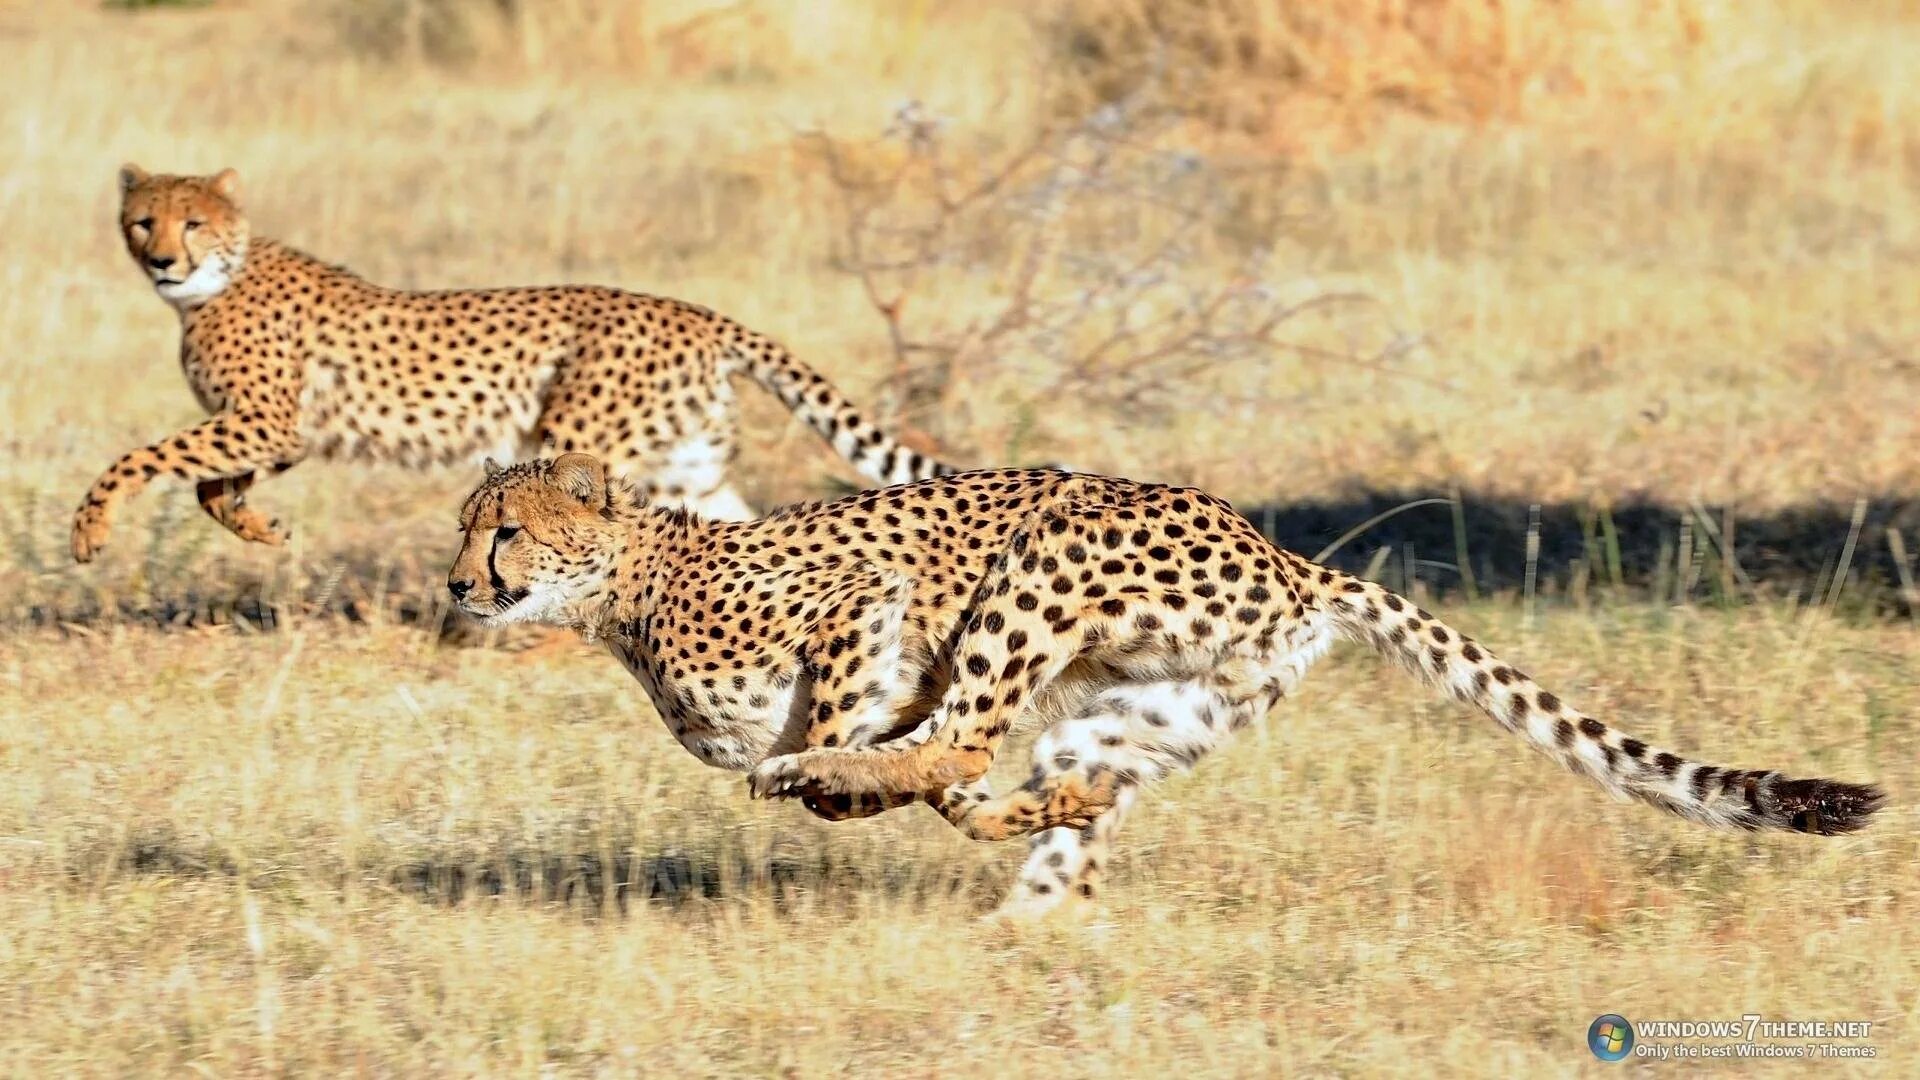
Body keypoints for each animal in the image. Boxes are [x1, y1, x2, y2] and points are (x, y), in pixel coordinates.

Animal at [69, 164, 952, 557]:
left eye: (193, 222)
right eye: (143, 220)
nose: (162, 260)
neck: (218, 279)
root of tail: (692, 310)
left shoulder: (264, 421)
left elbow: (144, 458)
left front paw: (90, 526)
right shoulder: (281, 431)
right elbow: (208, 483)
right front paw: (256, 527)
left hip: (579, 440)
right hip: (687, 464)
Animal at [445, 453, 1873, 914]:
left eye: (502, 529)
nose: (457, 585)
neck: (624, 588)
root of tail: (1294, 559)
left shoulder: (865, 604)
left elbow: (883, 729)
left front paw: (827, 771)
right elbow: (942, 778)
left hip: (1048, 555)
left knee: (966, 746)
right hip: (1148, 702)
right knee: (1050, 788)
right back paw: (1037, 890)